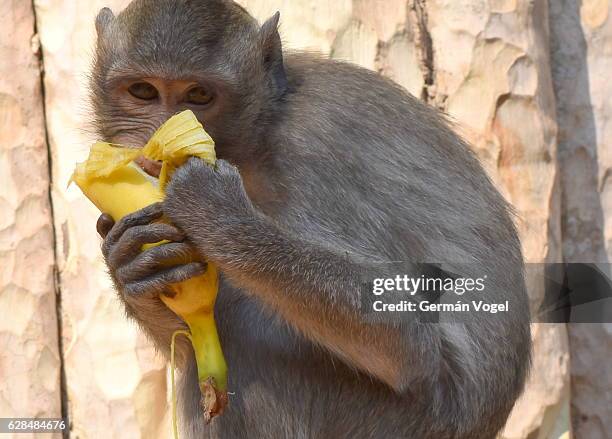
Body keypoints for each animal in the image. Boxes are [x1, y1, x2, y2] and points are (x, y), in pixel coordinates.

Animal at [89, 1, 532, 438]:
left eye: (199, 95)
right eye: (142, 90)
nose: (154, 146)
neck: (259, 131)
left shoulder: (313, 153)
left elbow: (403, 335)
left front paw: (216, 212)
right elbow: (183, 336)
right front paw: (129, 264)